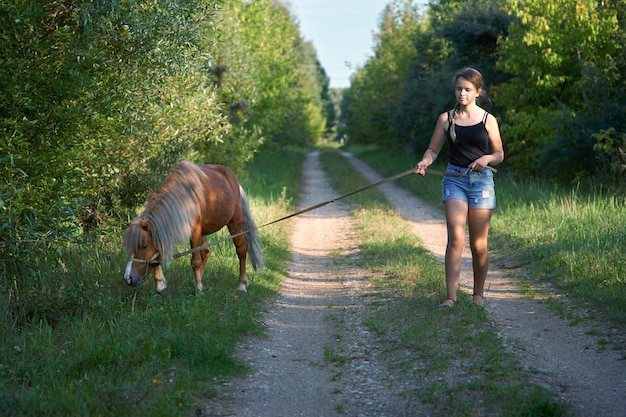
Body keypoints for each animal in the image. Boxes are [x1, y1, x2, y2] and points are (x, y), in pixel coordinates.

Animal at [122, 160, 260, 292]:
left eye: (144, 246)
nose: (128, 279)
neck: (184, 200)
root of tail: (233, 180)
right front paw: (160, 284)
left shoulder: (195, 232)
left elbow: (195, 261)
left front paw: (198, 288)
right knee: (206, 252)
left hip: (234, 222)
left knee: (241, 250)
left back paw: (242, 284)